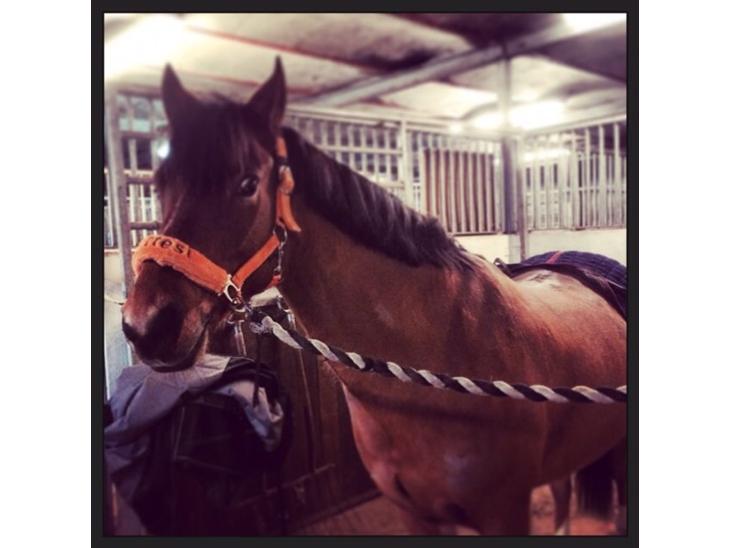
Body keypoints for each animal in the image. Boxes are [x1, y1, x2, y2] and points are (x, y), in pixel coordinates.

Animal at [121, 59, 627, 535]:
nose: (146, 325)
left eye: (247, 184)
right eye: (159, 183)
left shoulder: (505, 512)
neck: (437, 365)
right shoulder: (415, 512)